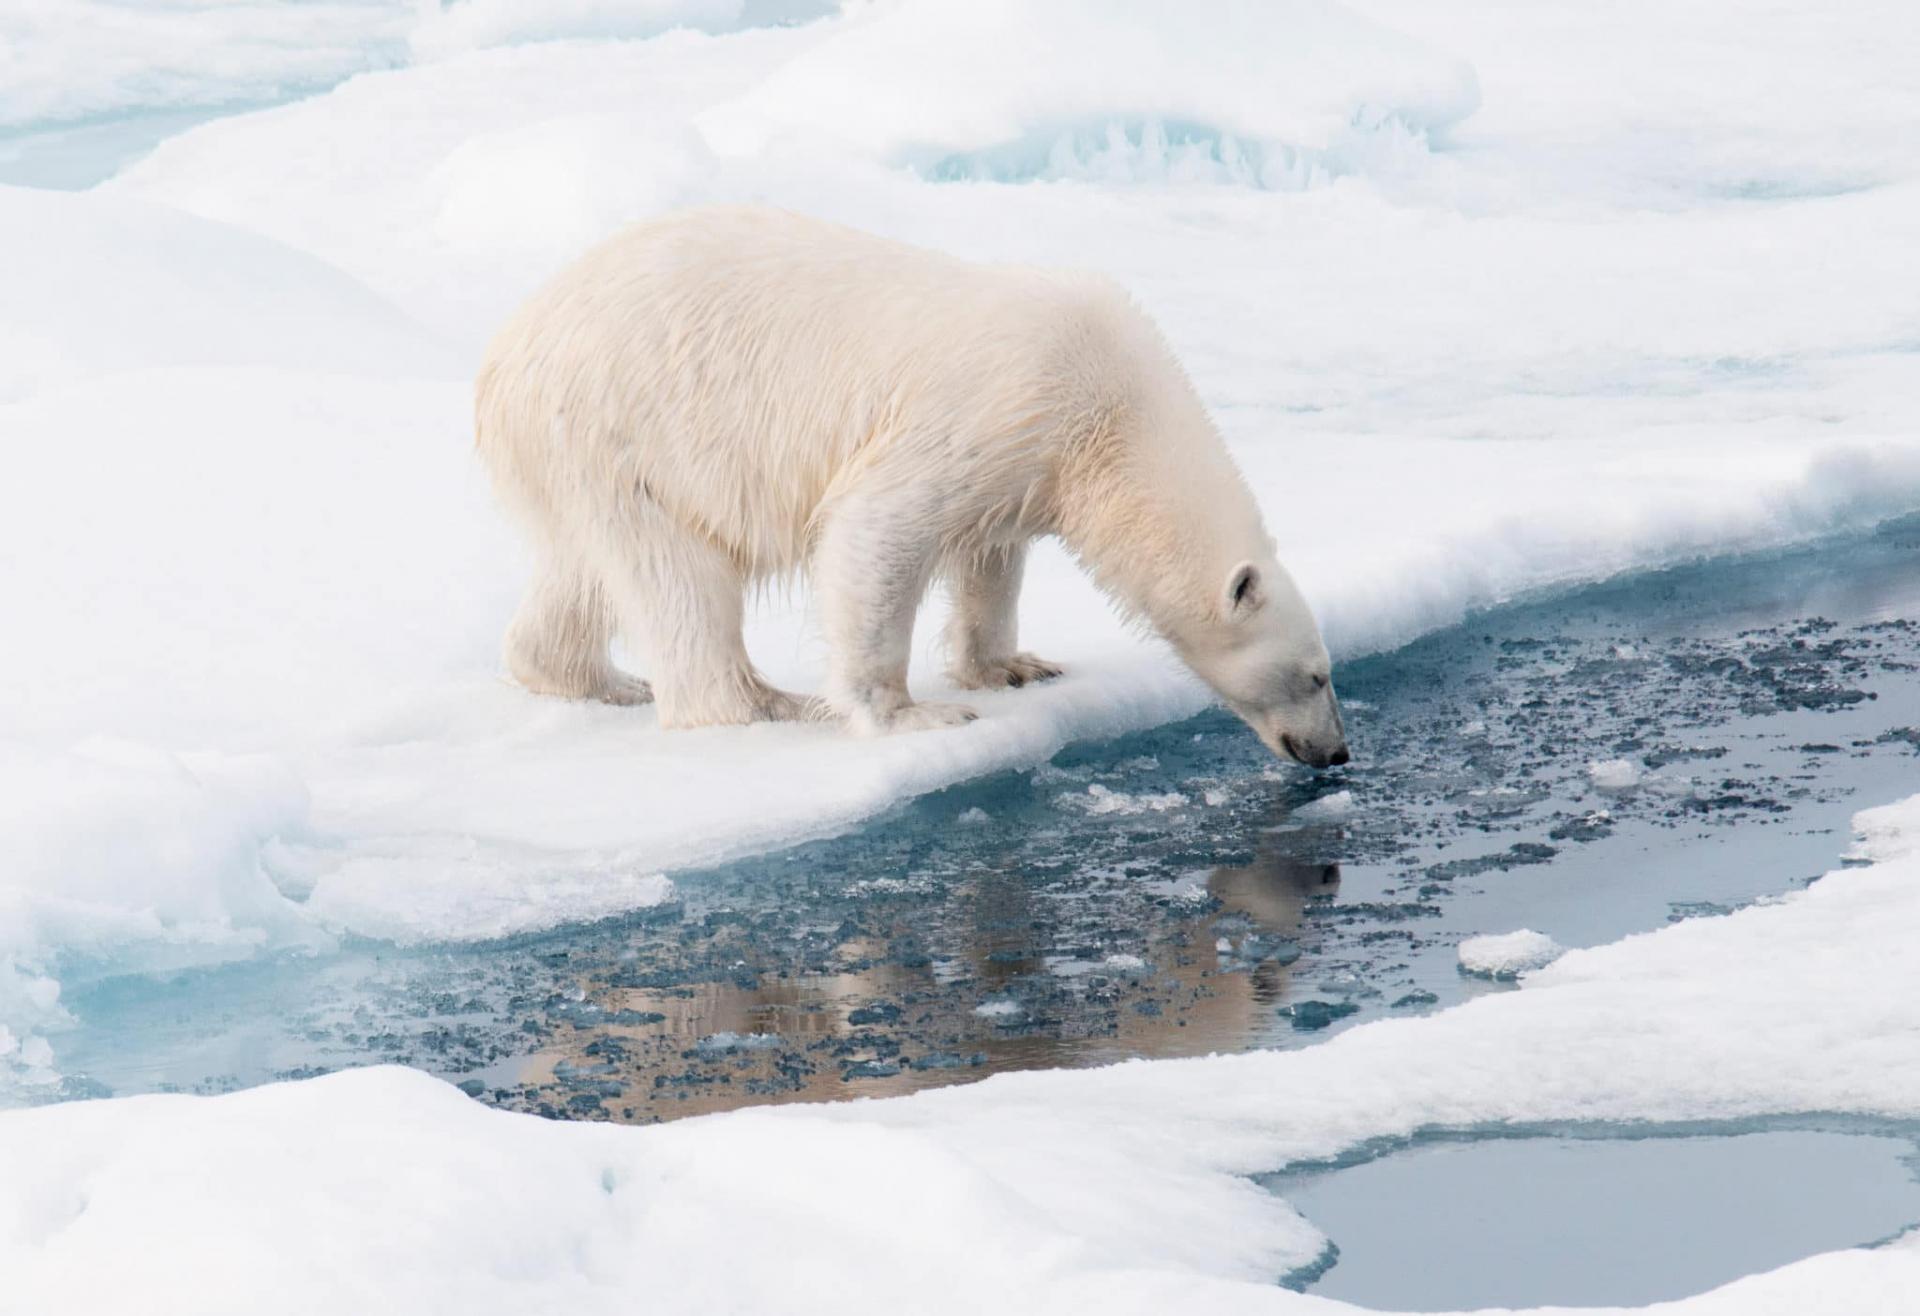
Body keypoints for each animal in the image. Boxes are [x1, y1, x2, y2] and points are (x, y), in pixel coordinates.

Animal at [480, 206, 1351, 768]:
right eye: (1317, 674)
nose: (1336, 752)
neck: (1115, 411)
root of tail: (504, 353)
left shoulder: (1028, 460)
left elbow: (992, 557)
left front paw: (1013, 666)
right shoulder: (994, 406)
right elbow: (877, 530)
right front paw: (912, 713)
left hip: (585, 462)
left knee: (588, 570)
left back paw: (592, 677)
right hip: (632, 425)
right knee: (681, 580)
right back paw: (764, 703)